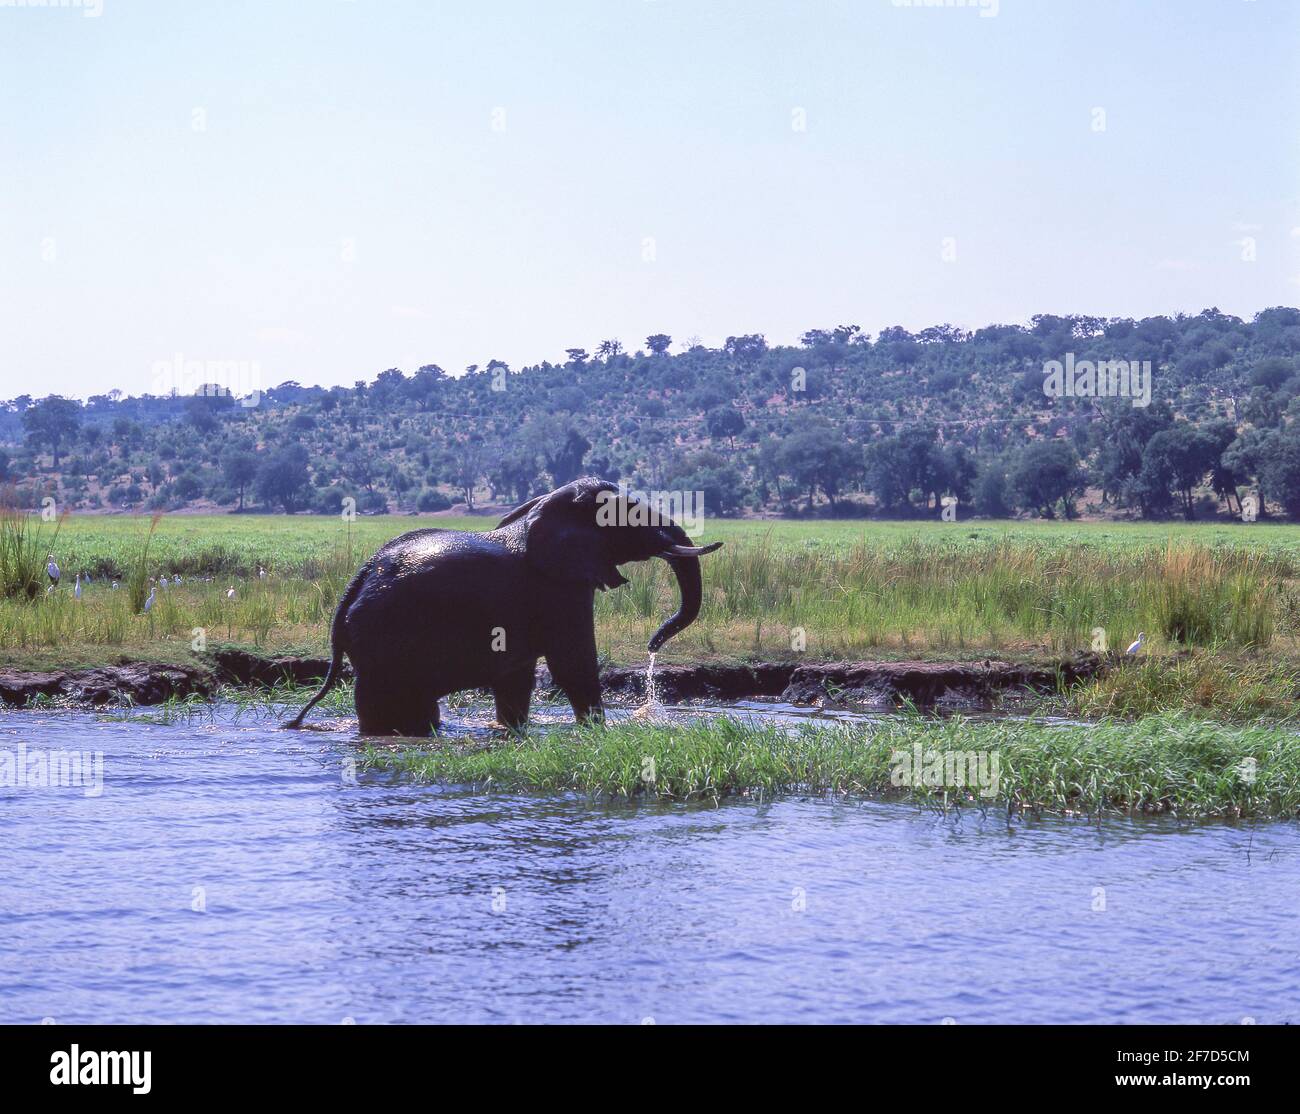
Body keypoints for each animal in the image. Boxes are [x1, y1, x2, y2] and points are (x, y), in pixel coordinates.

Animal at [286, 477, 722, 736]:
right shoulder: (559, 588)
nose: (652, 645)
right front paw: (598, 732)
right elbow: (574, 664)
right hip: (383, 638)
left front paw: (511, 733)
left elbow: (517, 678)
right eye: (629, 517)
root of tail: (355, 582)